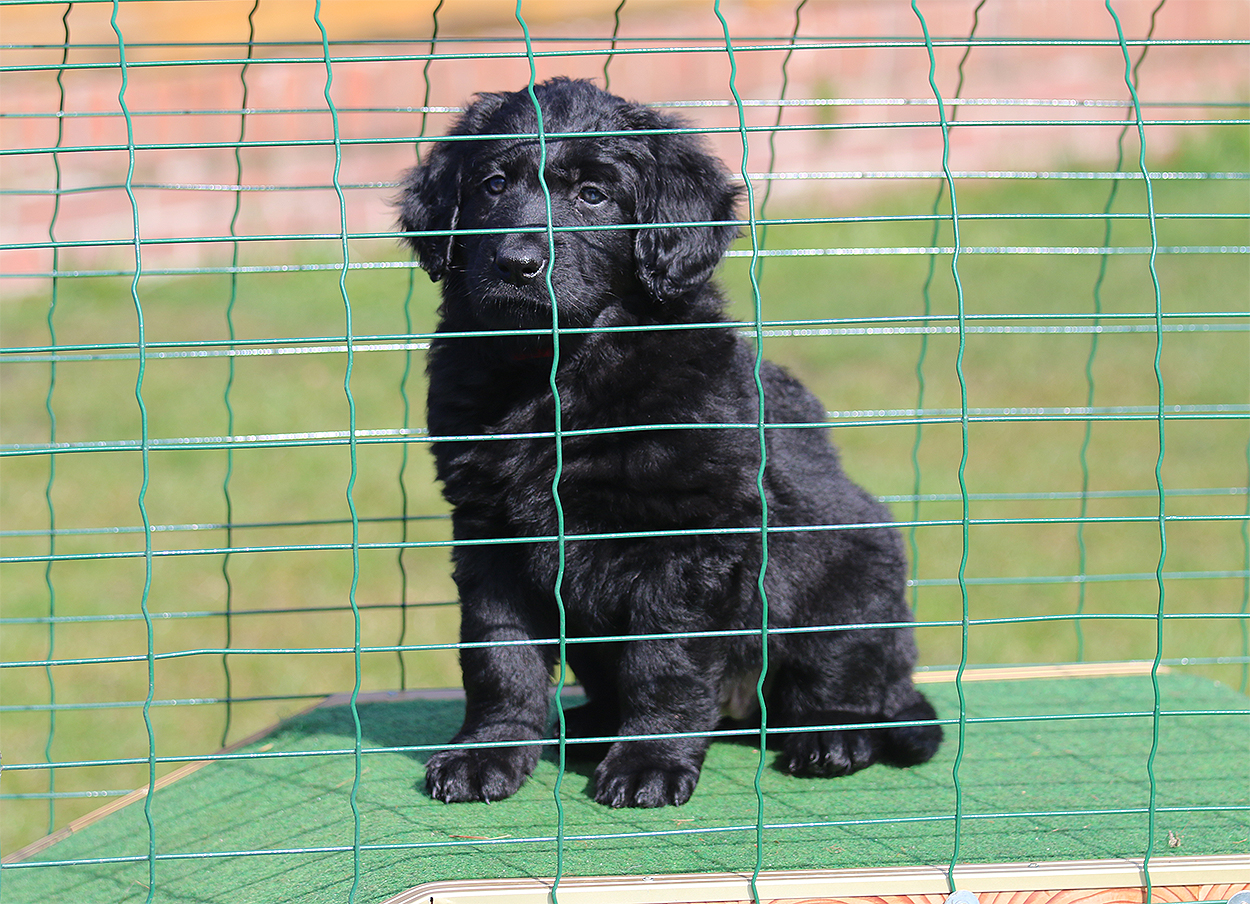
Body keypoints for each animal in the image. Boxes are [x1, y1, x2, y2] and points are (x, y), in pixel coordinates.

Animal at [397, 77, 942, 809]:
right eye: (491, 185)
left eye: (593, 194)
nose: (516, 263)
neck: (559, 375)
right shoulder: (489, 532)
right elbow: (499, 653)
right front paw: (489, 752)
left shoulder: (686, 543)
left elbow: (665, 661)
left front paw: (647, 764)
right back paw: (584, 726)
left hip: (851, 577)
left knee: (845, 683)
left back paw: (832, 738)